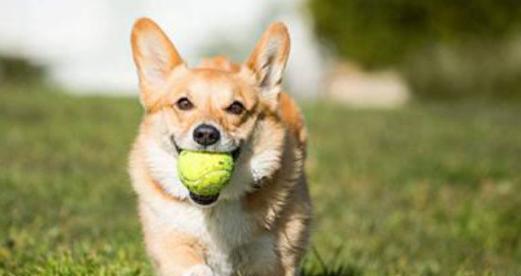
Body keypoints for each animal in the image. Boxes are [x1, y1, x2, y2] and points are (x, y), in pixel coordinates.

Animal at [128, 17, 310, 276]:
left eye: (236, 107)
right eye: (184, 103)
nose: (206, 134)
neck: (215, 205)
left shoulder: (273, 257)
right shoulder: (172, 243)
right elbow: (193, 266)